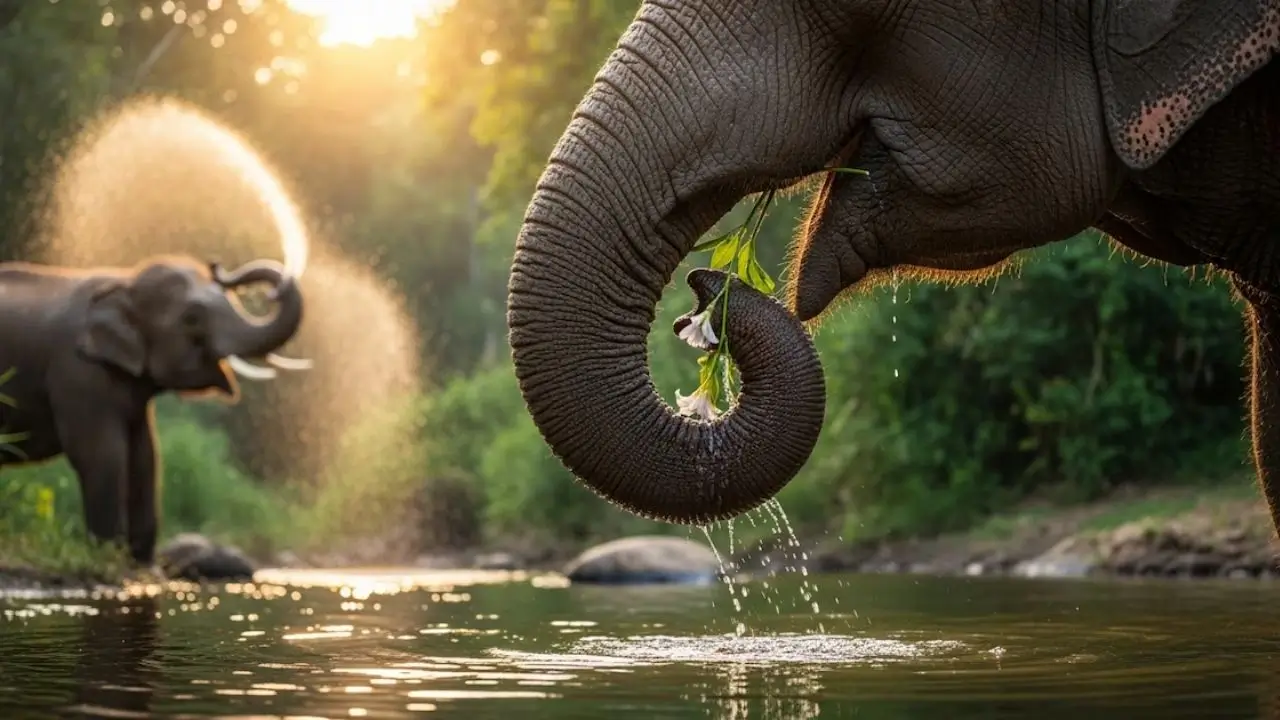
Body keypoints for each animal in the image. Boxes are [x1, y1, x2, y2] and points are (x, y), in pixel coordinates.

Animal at [0, 254, 307, 566]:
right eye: (192, 318)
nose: (217, 266)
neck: (124, 281)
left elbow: (144, 455)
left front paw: (141, 565)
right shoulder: (77, 371)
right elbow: (101, 454)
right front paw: (107, 557)